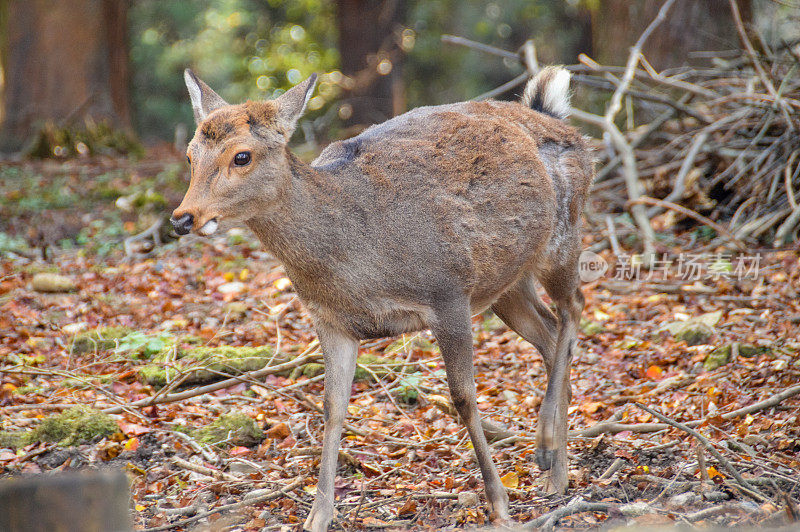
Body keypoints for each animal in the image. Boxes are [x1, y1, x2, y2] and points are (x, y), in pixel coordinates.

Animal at [173, 64, 592, 528]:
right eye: (190, 155)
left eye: (242, 156)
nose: (182, 218)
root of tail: (556, 117)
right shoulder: (331, 320)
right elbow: (332, 407)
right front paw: (317, 516)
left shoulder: (447, 291)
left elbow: (463, 397)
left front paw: (499, 504)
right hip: (505, 282)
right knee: (550, 334)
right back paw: (556, 475)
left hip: (562, 235)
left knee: (573, 308)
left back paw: (546, 446)